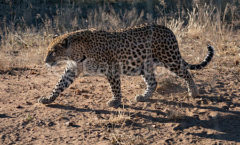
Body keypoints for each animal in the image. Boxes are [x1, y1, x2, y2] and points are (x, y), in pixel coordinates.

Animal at [38, 23, 215, 107]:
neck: (75, 52)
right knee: (153, 82)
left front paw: (115, 101)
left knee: (186, 72)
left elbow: (115, 87)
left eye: (53, 51)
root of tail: (169, 30)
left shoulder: (111, 68)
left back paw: (194, 92)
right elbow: (59, 84)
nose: (46, 61)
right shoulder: (72, 69)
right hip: (146, 66)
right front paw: (48, 99)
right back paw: (143, 97)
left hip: (170, 59)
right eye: (48, 50)